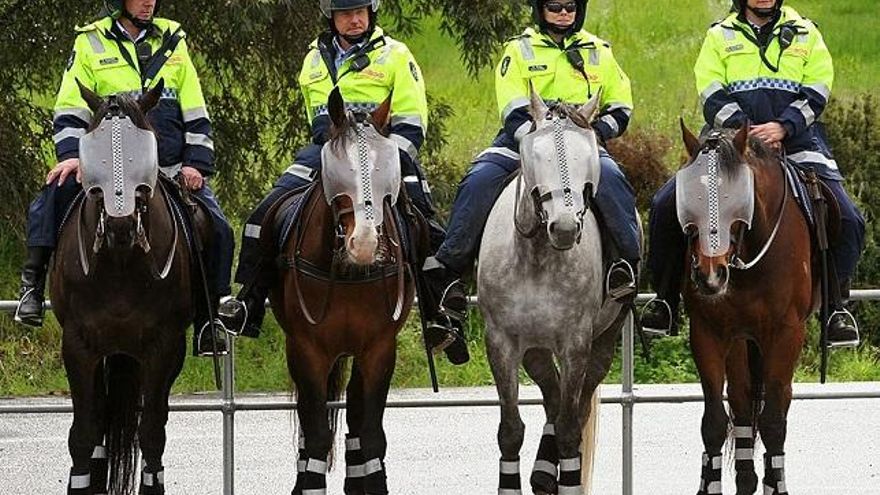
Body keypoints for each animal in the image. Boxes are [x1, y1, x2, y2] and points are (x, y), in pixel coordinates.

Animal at [51, 80, 209, 495]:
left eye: (144, 148)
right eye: (94, 146)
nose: (120, 223)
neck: (120, 260)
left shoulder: (164, 346)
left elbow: (151, 431)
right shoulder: (77, 345)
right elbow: (83, 432)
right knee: (100, 421)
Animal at [263, 87, 424, 495]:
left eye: (388, 173)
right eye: (337, 172)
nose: (363, 244)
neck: (349, 272)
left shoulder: (379, 350)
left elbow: (371, 434)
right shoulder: (307, 351)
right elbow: (318, 434)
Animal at [477, 87, 631, 495]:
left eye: (588, 157)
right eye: (536, 156)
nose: (563, 227)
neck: (536, 257)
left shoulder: (576, 343)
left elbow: (569, 429)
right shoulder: (500, 342)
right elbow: (510, 430)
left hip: (603, 339)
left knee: (571, 408)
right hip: (535, 349)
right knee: (552, 398)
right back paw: (544, 473)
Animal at [677, 122, 813, 495]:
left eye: (736, 198)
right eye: (688, 196)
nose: (710, 274)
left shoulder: (786, 334)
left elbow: (773, 421)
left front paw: (776, 485)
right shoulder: (707, 332)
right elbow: (713, 421)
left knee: (775, 404)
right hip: (740, 339)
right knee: (740, 403)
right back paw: (745, 479)